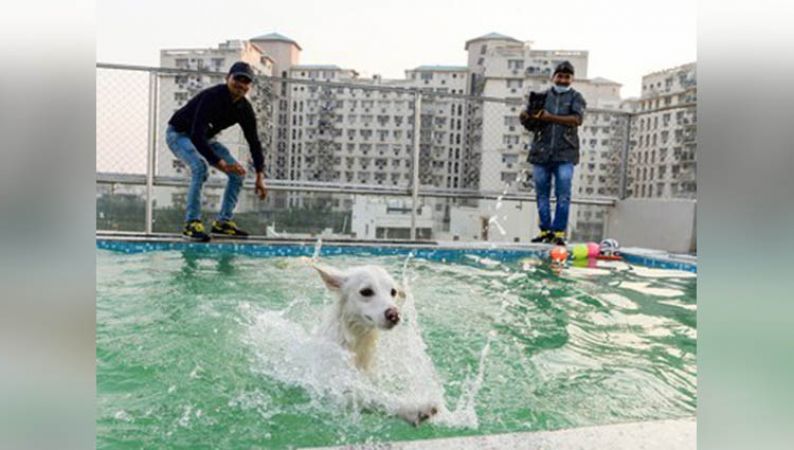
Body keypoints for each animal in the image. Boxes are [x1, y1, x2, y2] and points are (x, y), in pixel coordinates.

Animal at [312, 264, 440, 426]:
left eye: (393, 292)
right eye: (366, 291)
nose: (394, 315)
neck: (357, 343)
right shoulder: (337, 385)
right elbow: (374, 396)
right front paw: (413, 408)